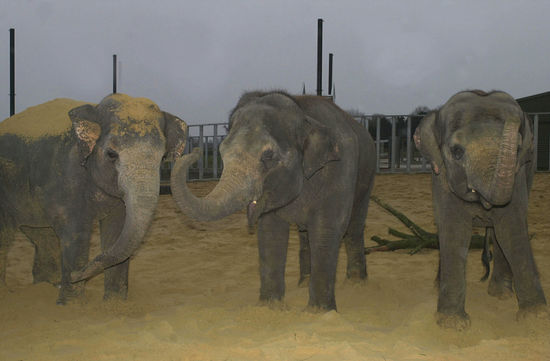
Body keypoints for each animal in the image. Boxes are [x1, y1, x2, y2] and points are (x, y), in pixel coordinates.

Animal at [0, 93, 188, 304]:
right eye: (111, 154)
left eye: (163, 157)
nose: (75, 275)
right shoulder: (65, 175)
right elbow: (75, 231)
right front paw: (73, 305)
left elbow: (117, 229)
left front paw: (114, 304)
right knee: (7, 236)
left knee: (42, 235)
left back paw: (46, 287)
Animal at [172, 90, 380, 310]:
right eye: (222, 151)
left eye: (268, 155)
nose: (195, 151)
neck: (303, 114)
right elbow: (271, 231)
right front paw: (269, 308)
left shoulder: (339, 171)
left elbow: (327, 228)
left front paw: (319, 311)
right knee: (306, 235)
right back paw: (304, 282)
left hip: (367, 177)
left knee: (354, 226)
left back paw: (356, 284)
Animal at [416, 88, 548, 328]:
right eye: (457, 152)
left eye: (517, 149)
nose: (515, 117)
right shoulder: (442, 177)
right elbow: (454, 229)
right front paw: (452, 324)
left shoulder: (518, 176)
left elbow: (510, 228)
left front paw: (535, 316)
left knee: (498, 233)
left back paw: (501, 293)